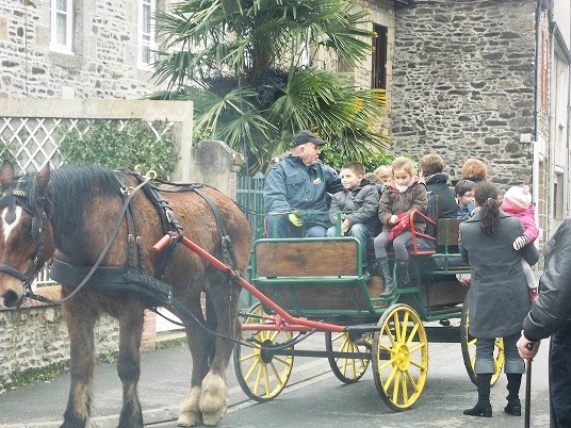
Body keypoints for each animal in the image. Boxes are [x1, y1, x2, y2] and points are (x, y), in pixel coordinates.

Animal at [0, 162, 252, 426]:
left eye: (30, 227)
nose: (7, 293)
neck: (100, 230)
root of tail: (231, 204)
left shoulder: (131, 309)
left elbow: (128, 367)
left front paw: (130, 419)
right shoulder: (75, 308)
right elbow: (80, 365)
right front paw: (75, 419)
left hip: (223, 285)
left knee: (228, 331)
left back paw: (212, 399)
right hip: (185, 295)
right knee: (199, 336)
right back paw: (192, 406)